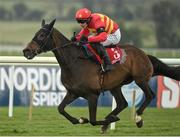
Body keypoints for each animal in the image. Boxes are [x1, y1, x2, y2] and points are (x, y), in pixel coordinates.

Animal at [23, 19, 180, 133]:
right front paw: (81, 120)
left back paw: (137, 118)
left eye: (41, 35)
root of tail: (144, 54)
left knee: (150, 95)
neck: (74, 61)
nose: (26, 51)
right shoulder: (73, 92)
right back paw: (111, 118)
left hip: (140, 79)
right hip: (115, 85)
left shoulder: (93, 95)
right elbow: (60, 109)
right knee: (123, 103)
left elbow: (92, 120)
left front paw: (104, 120)